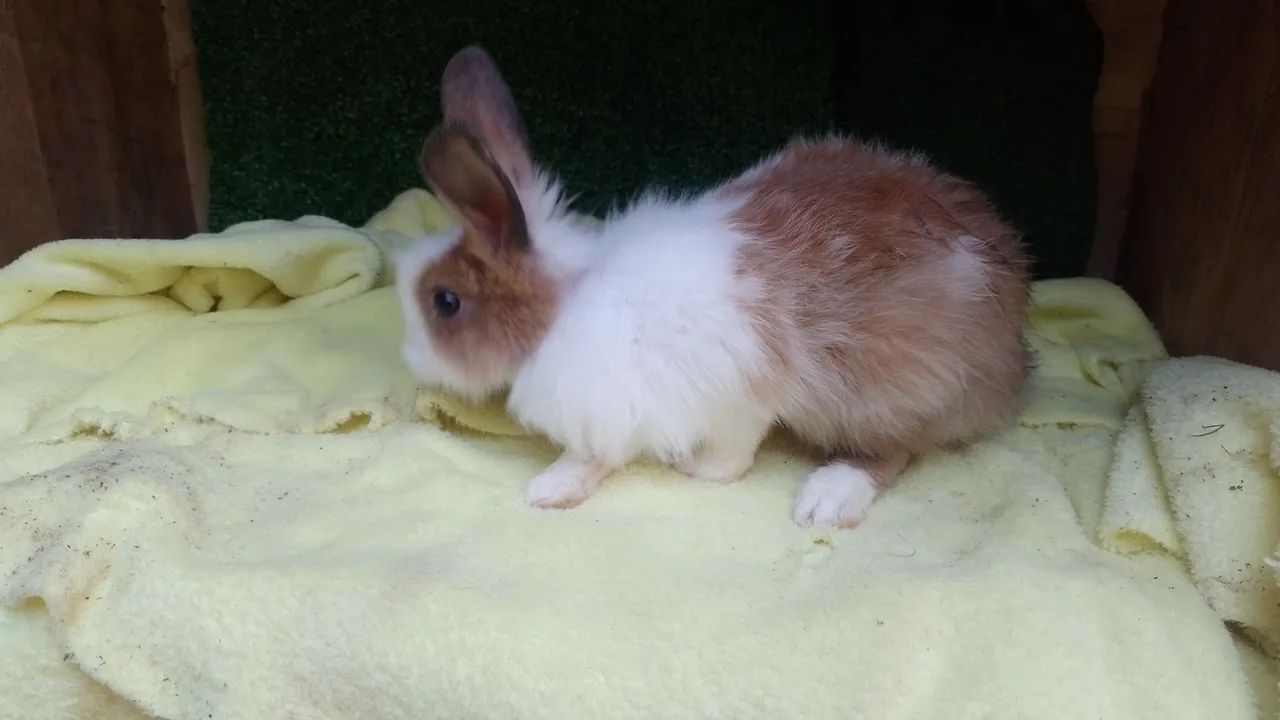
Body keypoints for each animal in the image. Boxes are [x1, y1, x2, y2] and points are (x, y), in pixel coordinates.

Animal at [396, 45, 1032, 528]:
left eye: (445, 302)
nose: (409, 358)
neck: (566, 304)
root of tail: (1013, 359)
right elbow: (597, 456)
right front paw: (556, 488)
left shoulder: (734, 394)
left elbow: (729, 454)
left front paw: (691, 473)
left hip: (887, 387)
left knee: (893, 451)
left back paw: (825, 499)